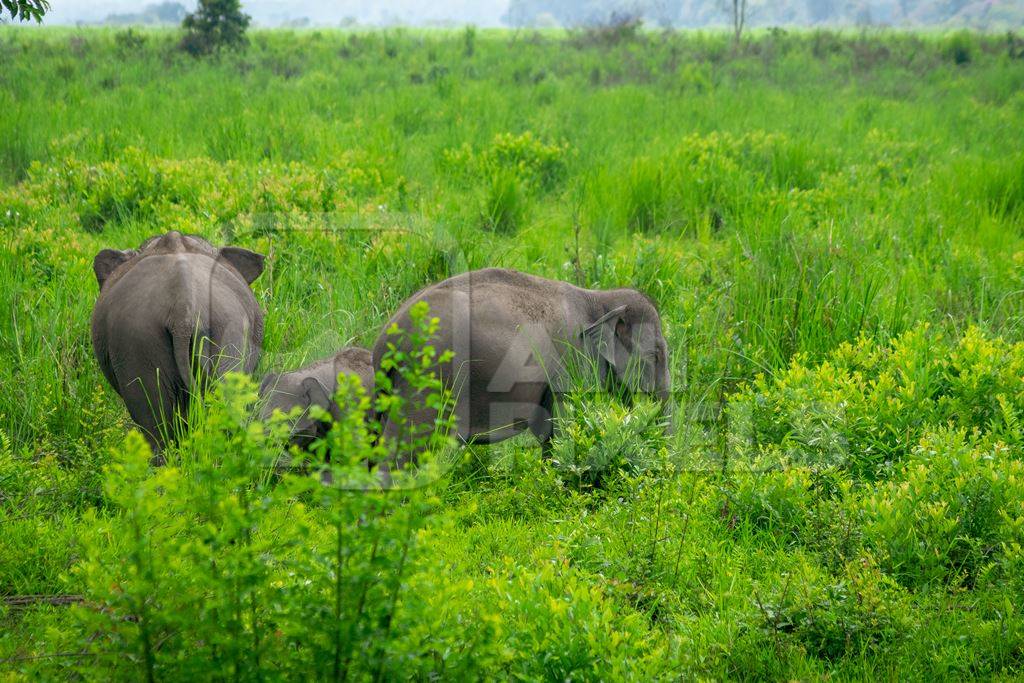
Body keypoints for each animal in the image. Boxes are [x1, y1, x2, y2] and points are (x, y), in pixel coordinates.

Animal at [368, 266, 671, 458]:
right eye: (655, 355)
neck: (598, 298)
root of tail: (385, 341)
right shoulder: (567, 359)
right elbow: (561, 423)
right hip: (427, 377)